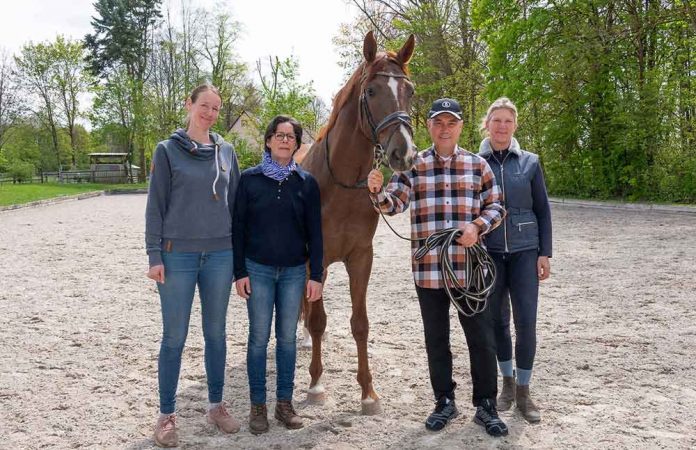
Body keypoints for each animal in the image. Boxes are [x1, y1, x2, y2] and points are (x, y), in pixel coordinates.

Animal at [298, 31, 416, 415]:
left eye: (410, 91)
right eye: (372, 91)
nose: (404, 153)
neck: (341, 184)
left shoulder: (361, 257)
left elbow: (360, 324)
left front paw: (368, 393)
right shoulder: (317, 259)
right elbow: (319, 320)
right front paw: (316, 386)